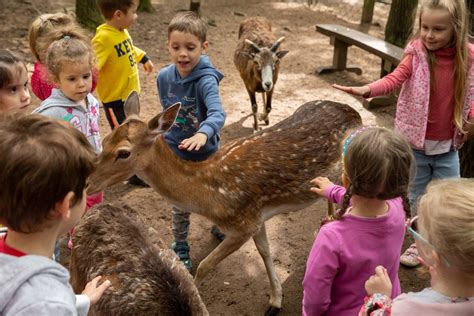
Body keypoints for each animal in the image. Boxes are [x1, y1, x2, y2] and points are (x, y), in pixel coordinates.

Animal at [88, 90, 362, 314]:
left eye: (124, 152)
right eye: (105, 140)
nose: (89, 182)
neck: (209, 194)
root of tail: (354, 112)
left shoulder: (241, 224)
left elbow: (204, 265)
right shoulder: (256, 219)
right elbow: (265, 251)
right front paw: (275, 300)